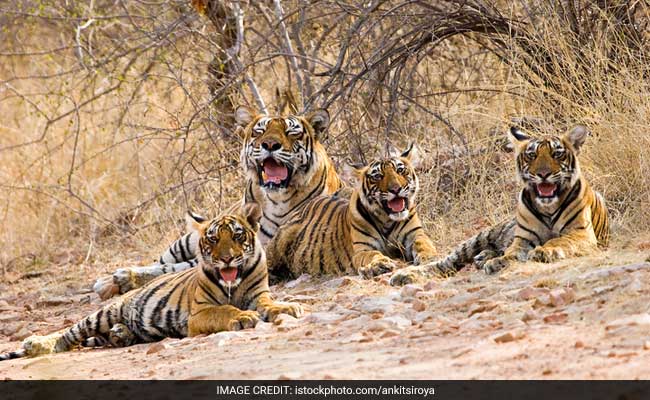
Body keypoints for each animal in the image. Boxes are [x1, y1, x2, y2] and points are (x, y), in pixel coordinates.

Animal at [0, 205, 302, 360]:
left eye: (238, 236)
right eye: (214, 239)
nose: (227, 259)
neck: (234, 283)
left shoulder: (259, 294)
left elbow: (270, 304)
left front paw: (287, 308)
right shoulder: (199, 313)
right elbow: (224, 310)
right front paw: (242, 317)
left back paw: (120, 334)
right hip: (105, 312)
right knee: (69, 334)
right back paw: (38, 345)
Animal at [94, 105, 344, 300]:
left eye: (292, 133)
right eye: (259, 132)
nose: (270, 145)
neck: (278, 198)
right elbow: (171, 266)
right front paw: (122, 277)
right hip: (184, 241)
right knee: (160, 260)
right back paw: (107, 282)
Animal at [264, 145, 436, 280]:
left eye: (400, 170)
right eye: (377, 176)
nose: (396, 189)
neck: (387, 219)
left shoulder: (415, 234)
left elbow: (423, 243)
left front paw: (429, 256)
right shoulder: (362, 249)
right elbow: (372, 255)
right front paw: (380, 264)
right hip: (278, 243)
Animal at [390, 125, 608, 284]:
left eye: (557, 154)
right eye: (532, 155)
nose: (543, 174)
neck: (548, 206)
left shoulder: (580, 233)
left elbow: (559, 241)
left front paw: (543, 251)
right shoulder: (523, 239)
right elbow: (512, 253)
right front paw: (500, 262)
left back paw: (483, 257)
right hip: (478, 238)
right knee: (444, 262)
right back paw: (404, 275)